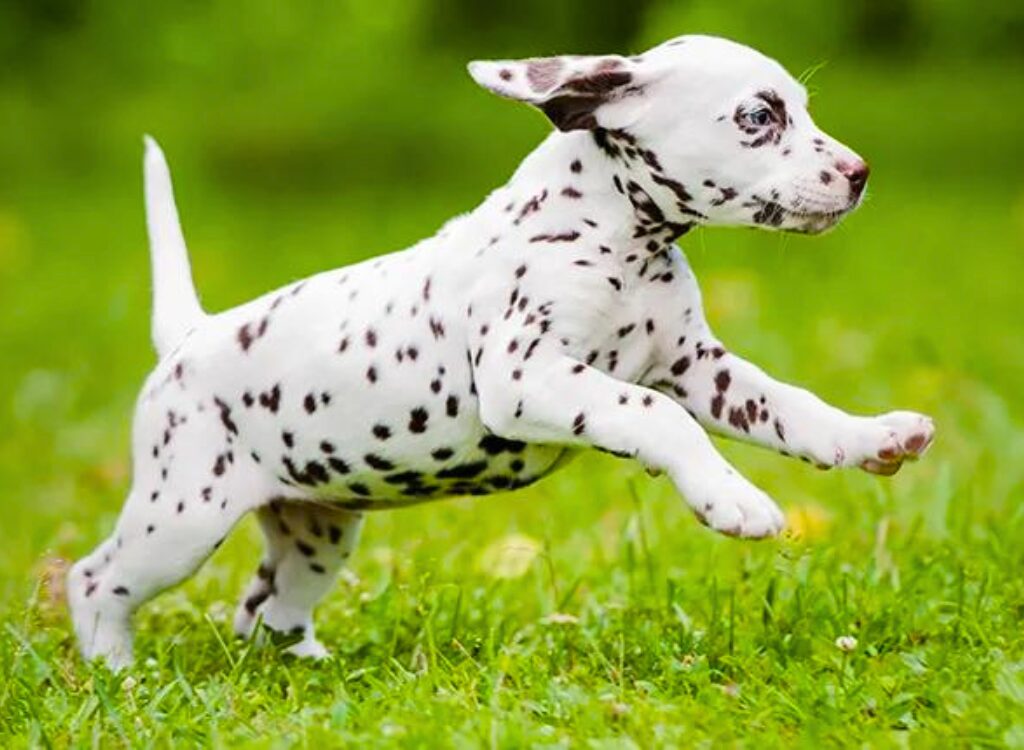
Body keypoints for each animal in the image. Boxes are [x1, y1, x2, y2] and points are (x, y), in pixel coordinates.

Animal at [68, 35, 937, 668]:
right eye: (759, 116)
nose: (859, 173)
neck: (618, 238)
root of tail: (191, 334)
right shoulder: (529, 378)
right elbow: (652, 415)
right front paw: (734, 500)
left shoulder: (698, 369)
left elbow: (791, 407)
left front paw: (873, 437)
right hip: (181, 517)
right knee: (95, 579)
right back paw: (115, 673)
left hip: (317, 530)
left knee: (263, 607)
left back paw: (304, 665)